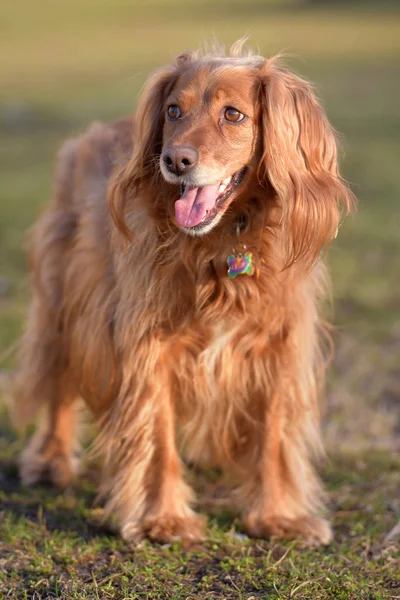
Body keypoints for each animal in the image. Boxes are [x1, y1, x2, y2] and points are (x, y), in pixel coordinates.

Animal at [12, 39, 356, 548]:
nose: (175, 161)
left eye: (233, 115)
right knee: (60, 380)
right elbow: (157, 435)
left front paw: (279, 516)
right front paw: (163, 518)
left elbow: (273, 435)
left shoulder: (278, 344)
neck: (225, 241)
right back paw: (52, 458)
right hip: (65, 297)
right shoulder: (149, 343)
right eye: (174, 110)